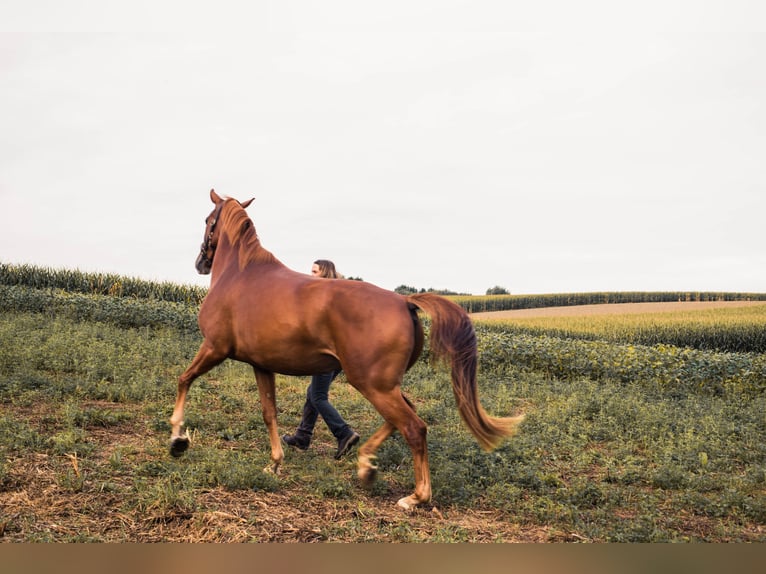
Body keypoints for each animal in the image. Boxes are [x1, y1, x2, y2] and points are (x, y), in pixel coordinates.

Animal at [170, 191, 524, 510]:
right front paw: (274, 463)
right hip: (382, 384)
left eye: (208, 220)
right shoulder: (262, 365)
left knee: (414, 427)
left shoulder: (214, 347)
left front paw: (177, 439)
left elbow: (184, 379)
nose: (200, 263)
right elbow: (269, 412)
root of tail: (404, 301)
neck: (240, 275)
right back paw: (366, 464)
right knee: (402, 418)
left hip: (371, 384)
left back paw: (414, 496)